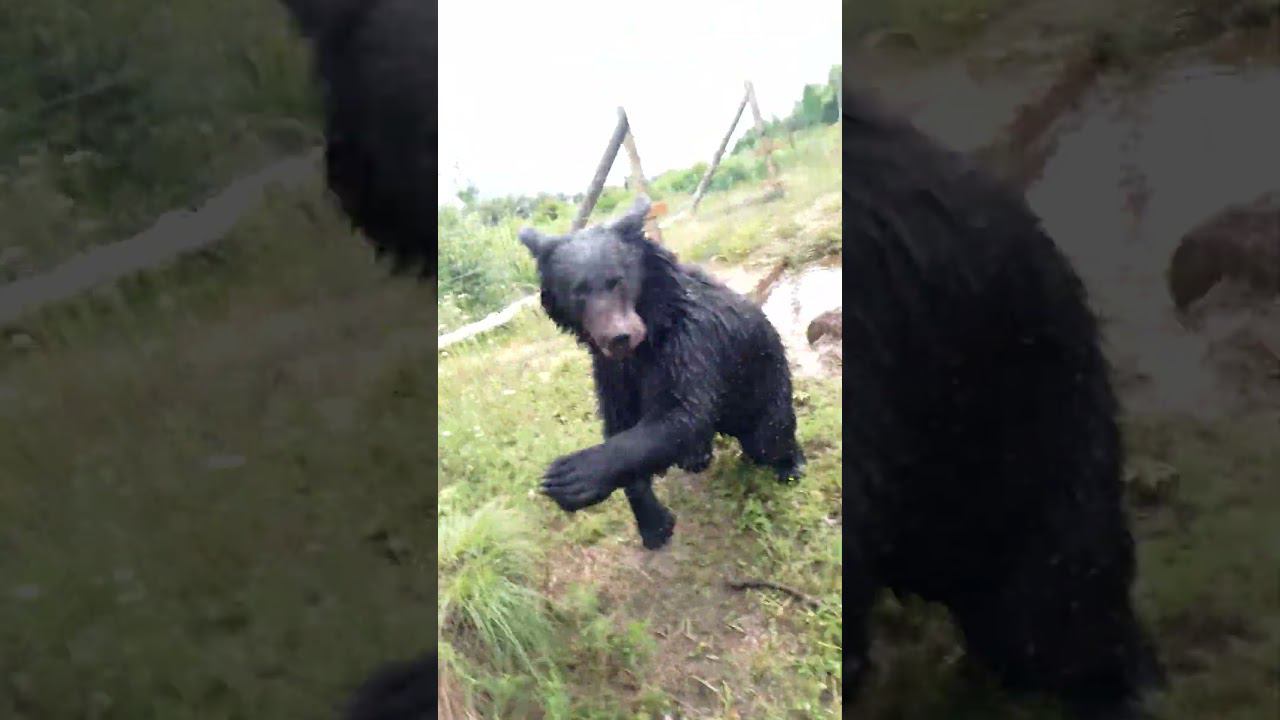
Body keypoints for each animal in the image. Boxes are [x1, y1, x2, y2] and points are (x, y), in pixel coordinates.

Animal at [518, 197, 806, 550]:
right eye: (578, 291)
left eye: (617, 279)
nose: (619, 337)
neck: (653, 329)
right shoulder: (612, 370)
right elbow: (620, 422)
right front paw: (654, 525)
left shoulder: (691, 343)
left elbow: (681, 414)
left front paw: (572, 475)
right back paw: (697, 457)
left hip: (766, 390)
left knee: (769, 437)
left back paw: (790, 464)